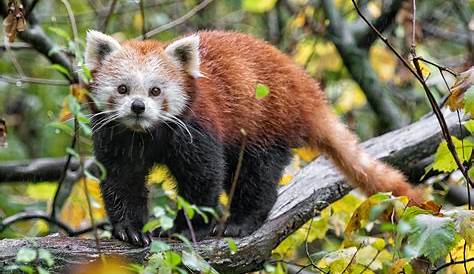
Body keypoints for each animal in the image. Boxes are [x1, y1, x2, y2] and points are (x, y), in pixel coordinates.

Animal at [84, 29, 422, 246]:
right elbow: (121, 181)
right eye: (123, 89)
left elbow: (203, 179)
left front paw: (187, 228)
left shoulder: (197, 128)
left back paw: (241, 221)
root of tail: (305, 87)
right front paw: (129, 229)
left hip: (266, 123)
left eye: (155, 91)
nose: (138, 107)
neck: (147, 134)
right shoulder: (118, 139)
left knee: (256, 174)